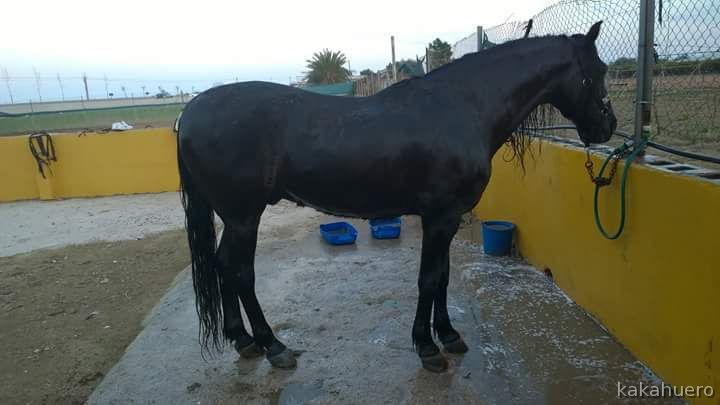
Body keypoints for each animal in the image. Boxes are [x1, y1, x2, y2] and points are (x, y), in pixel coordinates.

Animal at [176, 22, 616, 373]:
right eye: (599, 70)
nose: (608, 126)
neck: (463, 107)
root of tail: (191, 112)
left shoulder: (447, 218)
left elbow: (442, 276)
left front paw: (449, 335)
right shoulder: (440, 216)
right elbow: (428, 278)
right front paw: (427, 347)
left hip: (233, 217)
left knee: (221, 264)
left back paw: (243, 339)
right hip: (244, 216)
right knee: (240, 273)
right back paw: (273, 345)